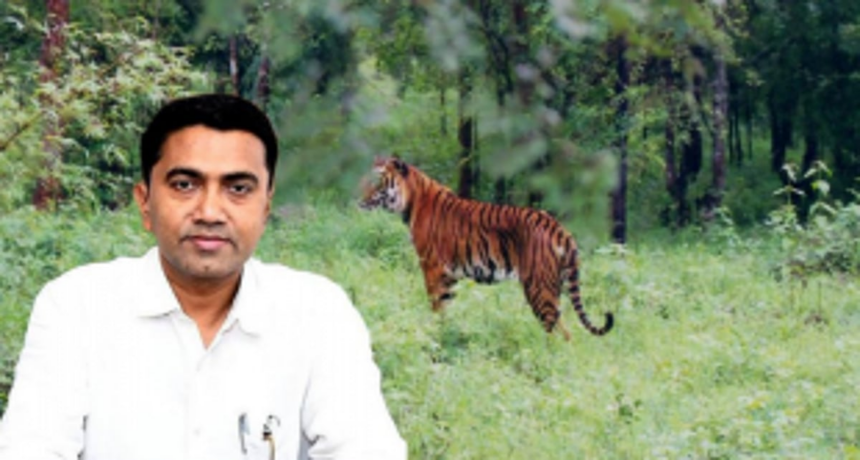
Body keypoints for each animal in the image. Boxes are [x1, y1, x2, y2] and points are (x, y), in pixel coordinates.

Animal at [359, 156, 613, 340]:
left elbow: (437, 307)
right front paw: (447, 333)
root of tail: (558, 227)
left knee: (559, 331)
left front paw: (435, 334)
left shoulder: (432, 267)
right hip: (553, 286)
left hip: (539, 288)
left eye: (377, 181)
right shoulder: (449, 276)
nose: (358, 199)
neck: (412, 201)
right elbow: (447, 307)